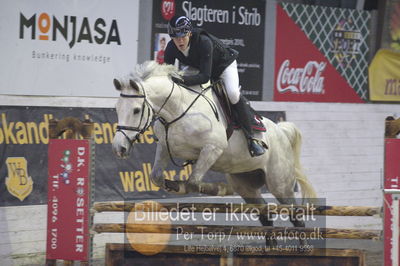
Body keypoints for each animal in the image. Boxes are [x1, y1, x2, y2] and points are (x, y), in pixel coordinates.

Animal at [111, 61, 316, 231]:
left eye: (136, 110)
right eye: (117, 109)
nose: (119, 148)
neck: (178, 109)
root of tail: (281, 131)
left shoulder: (212, 148)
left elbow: (193, 182)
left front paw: (218, 189)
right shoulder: (164, 147)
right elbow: (156, 177)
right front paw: (174, 185)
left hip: (280, 184)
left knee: (296, 217)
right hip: (246, 184)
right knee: (265, 215)